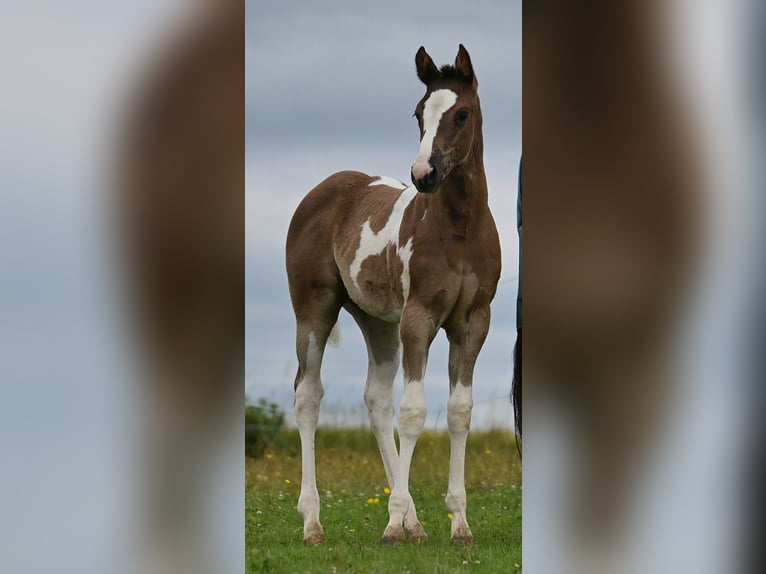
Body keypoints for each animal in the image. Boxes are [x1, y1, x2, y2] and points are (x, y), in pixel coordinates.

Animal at [285, 44, 501, 545]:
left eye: (462, 113)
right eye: (419, 113)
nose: (424, 174)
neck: (460, 230)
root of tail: (320, 192)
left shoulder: (472, 323)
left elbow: (458, 411)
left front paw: (458, 524)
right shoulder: (419, 318)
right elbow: (415, 410)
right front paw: (391, 523)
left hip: (379, 323)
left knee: (377, 401)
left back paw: (413, 523)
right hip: (315, 311)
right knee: (308, 395)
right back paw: (313, 522)